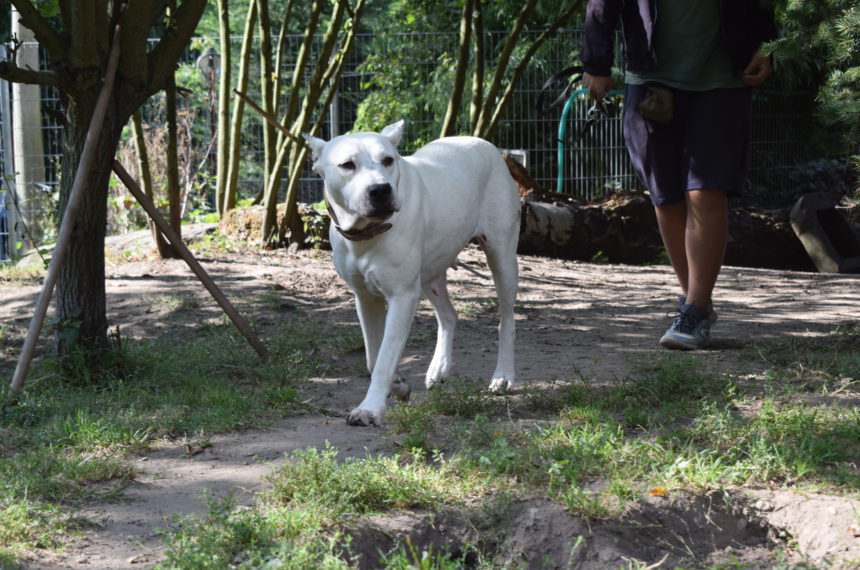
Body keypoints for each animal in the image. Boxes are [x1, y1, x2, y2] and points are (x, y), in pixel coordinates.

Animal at [304, 120, 516, 424]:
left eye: (388, 160)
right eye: (347, 165)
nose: (380, 190)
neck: (367, 233)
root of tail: (482, 142)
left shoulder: (402, 296)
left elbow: (384, 357)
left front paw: (370, 408)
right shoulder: (365, 298)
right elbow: (373, 356)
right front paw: (398, 386)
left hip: (502, 256)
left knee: (506, 319)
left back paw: (503, 376)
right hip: (430, 272)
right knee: (448, 315)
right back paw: (439, 369)